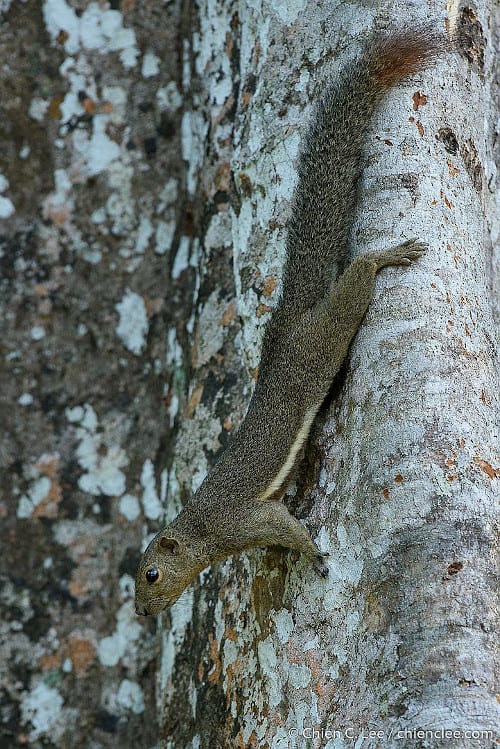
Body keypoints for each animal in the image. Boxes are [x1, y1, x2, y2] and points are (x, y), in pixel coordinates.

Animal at [135, 27, 444, 612]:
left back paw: (384, 257)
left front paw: (312, 555)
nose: (142, 612)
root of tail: (286, 320)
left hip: (321, 340)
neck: (200, 529)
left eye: (152, 575)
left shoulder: (242, 521)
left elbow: (286, 527)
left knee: (353, 289)